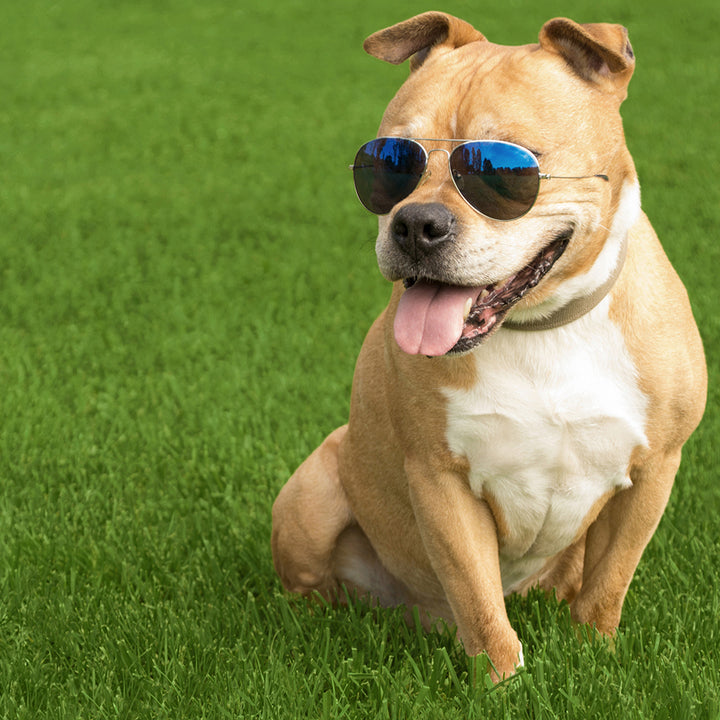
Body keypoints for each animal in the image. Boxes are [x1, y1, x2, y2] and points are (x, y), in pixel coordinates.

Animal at [272, 12, 704, 680]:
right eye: (387, 160)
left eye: (502, 169)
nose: (415, 224)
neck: (541, 327)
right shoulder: (441, 481)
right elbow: (478, 603)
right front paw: (501, 682)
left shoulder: (654, 468)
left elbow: (608, 585)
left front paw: (596, 656)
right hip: (314, 491)